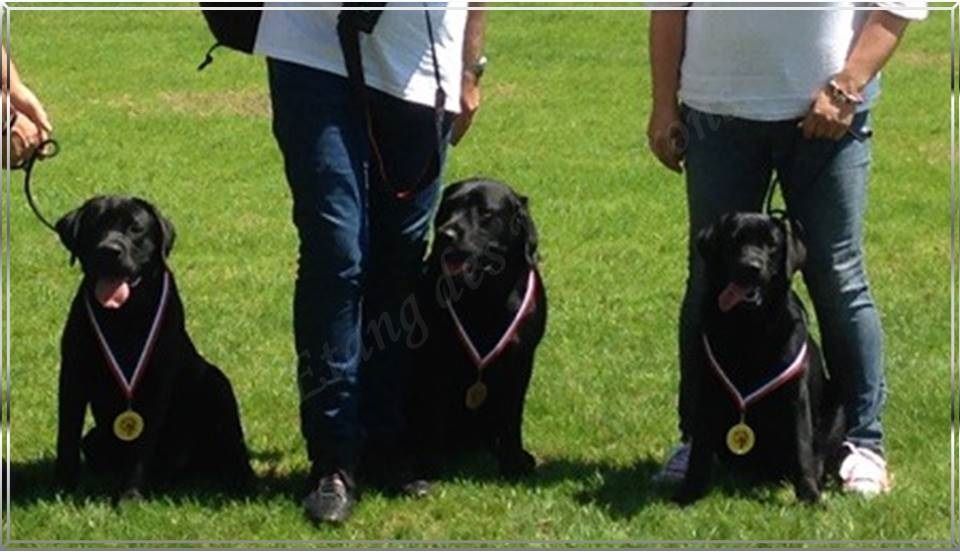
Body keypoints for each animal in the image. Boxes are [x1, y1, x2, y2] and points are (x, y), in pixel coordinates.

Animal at [54, 196, 253, 498]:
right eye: (94, 224)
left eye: (136, 228)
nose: (110, 250)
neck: (123, 316)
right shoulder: (73, 374)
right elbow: (67, 434)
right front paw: (63, 488)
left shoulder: (157, 381)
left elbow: (141, 445)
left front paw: (130, 496)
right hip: (95, 438)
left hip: (217, 382)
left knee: (233, 446)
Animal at [408, 179, 552, 480]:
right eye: (447, 208)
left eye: (485, 212)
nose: (446, 233)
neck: (484, 296)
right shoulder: (436, 359)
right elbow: (434, 415)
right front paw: (429, 466)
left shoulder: (522, 358)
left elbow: (512, 415)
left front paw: (513, 461)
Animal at [672, 212, 844, 504]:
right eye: (734, 240)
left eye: (772, 245)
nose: (751, 267)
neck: (749, 327)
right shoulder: (709, 391)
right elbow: (700, 449)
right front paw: (690, 491)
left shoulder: (796, 397)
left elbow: (802, 447)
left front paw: (809, 494)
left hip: (838, 408)